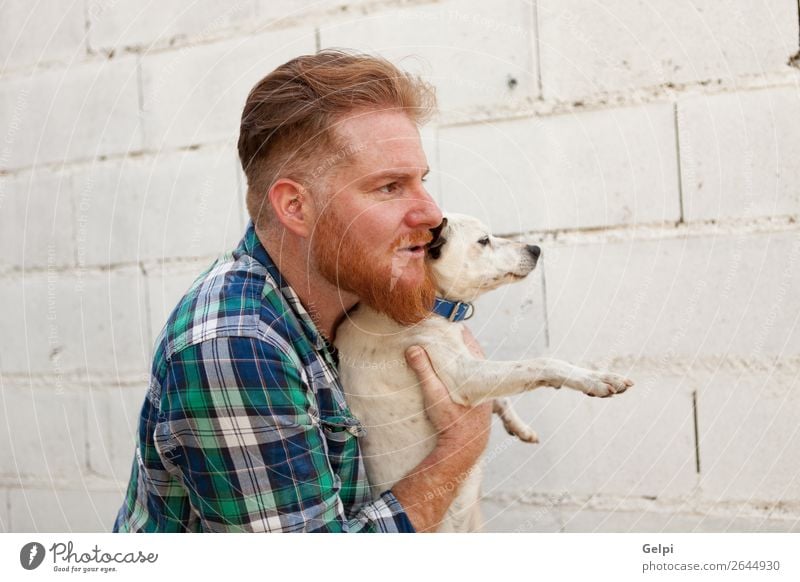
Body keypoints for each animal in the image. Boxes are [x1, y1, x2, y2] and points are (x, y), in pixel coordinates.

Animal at [334, 214, 636, 532]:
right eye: (483, 240)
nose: (536, 248)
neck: (426, 306)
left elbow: (505, 393)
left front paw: (518, 425)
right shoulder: (464, 376)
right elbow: (540, 363)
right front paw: (597, 378)